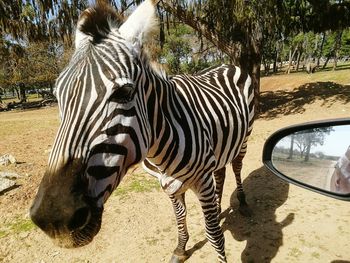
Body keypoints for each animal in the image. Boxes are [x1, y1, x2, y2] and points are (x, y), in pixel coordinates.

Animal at [30, 1, 254, 262]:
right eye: (57, 97)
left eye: (124, 92)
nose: (54, 219)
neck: (160, 150)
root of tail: (226, 64)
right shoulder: (167, 184)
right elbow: (180, 217)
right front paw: (181, 247)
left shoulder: (201, 179)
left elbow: (214, 234)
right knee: (221, 172)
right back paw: (219, 208)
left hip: (244, 138)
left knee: (236, 167)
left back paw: (243, 203)